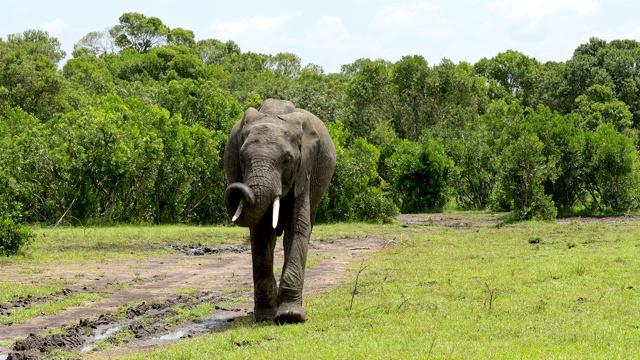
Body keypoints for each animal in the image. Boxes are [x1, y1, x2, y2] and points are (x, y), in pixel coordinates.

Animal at [224, 98, 338, 324]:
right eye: (241, 159)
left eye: (287, 160)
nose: (238, 188)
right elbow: (260, 231)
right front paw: (265, 317)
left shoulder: (305, 168)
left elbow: (298, 227)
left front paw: (291, 316)